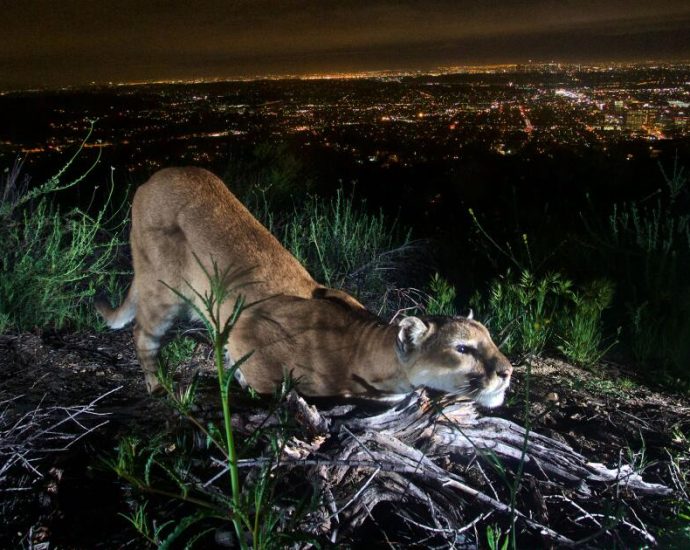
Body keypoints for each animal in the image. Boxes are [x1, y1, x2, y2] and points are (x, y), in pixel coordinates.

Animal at [96, 167, 512, 407]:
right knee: (142, 335)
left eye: (491, 341)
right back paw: (159, 388)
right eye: (462, 348)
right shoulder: (249, 332)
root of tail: (154, 176)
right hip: (163, 291)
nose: (507, 371)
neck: (364, 349)